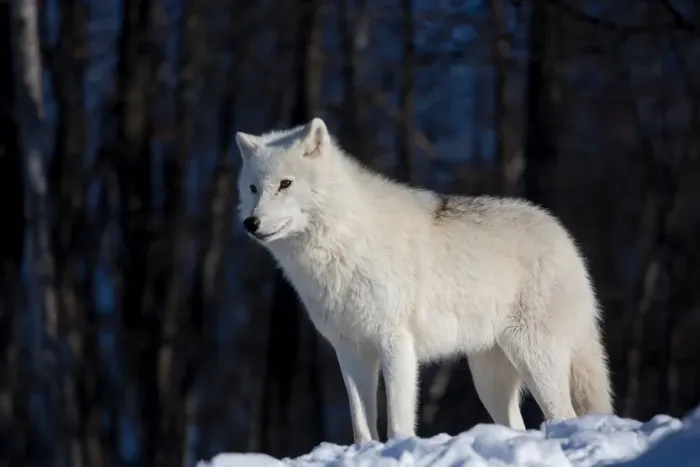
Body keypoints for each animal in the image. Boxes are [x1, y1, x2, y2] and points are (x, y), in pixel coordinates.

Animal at [235, 117, 614, 443]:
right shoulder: (351, 350)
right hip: (489, 378)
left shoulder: (395, 342)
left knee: (563, 415)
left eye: (285, 184)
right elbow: (361, 423)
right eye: (253, 189)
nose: (250, 223)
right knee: (517, 425)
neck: (342, 240)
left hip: (533, 358)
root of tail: (562, 235)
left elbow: (399, 421)